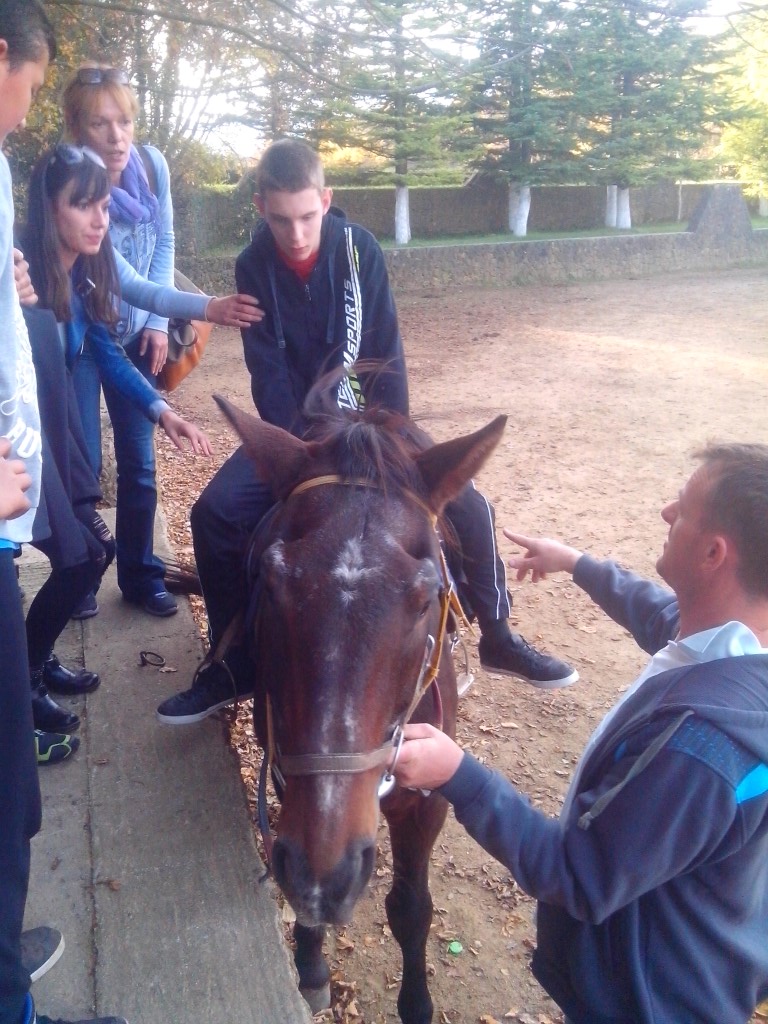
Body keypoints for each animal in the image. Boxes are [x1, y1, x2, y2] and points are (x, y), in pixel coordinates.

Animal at [213, 391, 506, 1024]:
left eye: (424, 597)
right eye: (270, 582)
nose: (326, 878)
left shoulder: (428, 798)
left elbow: (411, 909)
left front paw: (416, 1003)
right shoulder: (288, 773)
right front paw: (310, 962)